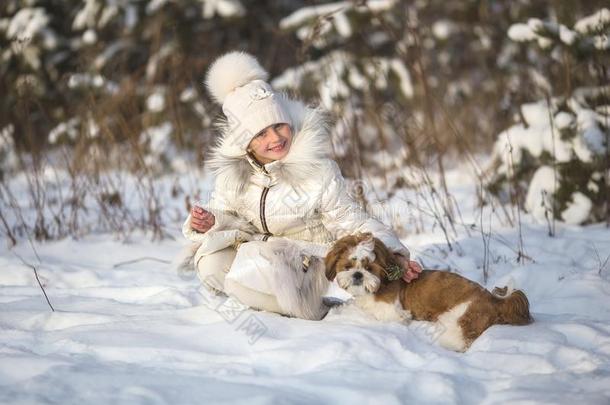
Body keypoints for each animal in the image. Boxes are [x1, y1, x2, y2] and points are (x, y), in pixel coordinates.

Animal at [326, 232, 528, 352]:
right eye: (348, 266)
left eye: (369, 268)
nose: (358, 275)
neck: (379, 285)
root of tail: (495, 300)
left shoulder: (394, 314)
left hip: (459, 321)